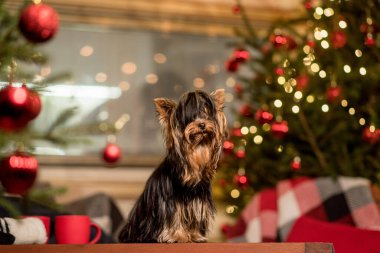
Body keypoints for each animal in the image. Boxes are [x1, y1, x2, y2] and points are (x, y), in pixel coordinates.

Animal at [119, 89, 226, 243]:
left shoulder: (197, 201)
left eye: (206, 114)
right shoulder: (170, 202)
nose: (202, 124)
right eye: (189, 119)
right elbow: (175, 216)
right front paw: (178, 236)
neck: (197, 149)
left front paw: (195, 235)